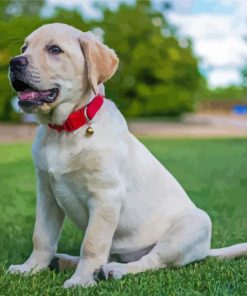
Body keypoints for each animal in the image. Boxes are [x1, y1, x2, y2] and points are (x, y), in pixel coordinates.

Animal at [7, 23, 247, 290]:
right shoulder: (47, 193)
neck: (65, 129)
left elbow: (92, 244)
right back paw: (64, 261)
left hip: (194, 224)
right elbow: (42, 236)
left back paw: (113, 271)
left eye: (54, 50)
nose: (14, 62)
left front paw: (81, 281)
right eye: (24, 48)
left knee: (151, 260)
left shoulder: (106, 196)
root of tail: (205, 251)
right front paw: (30, 269)